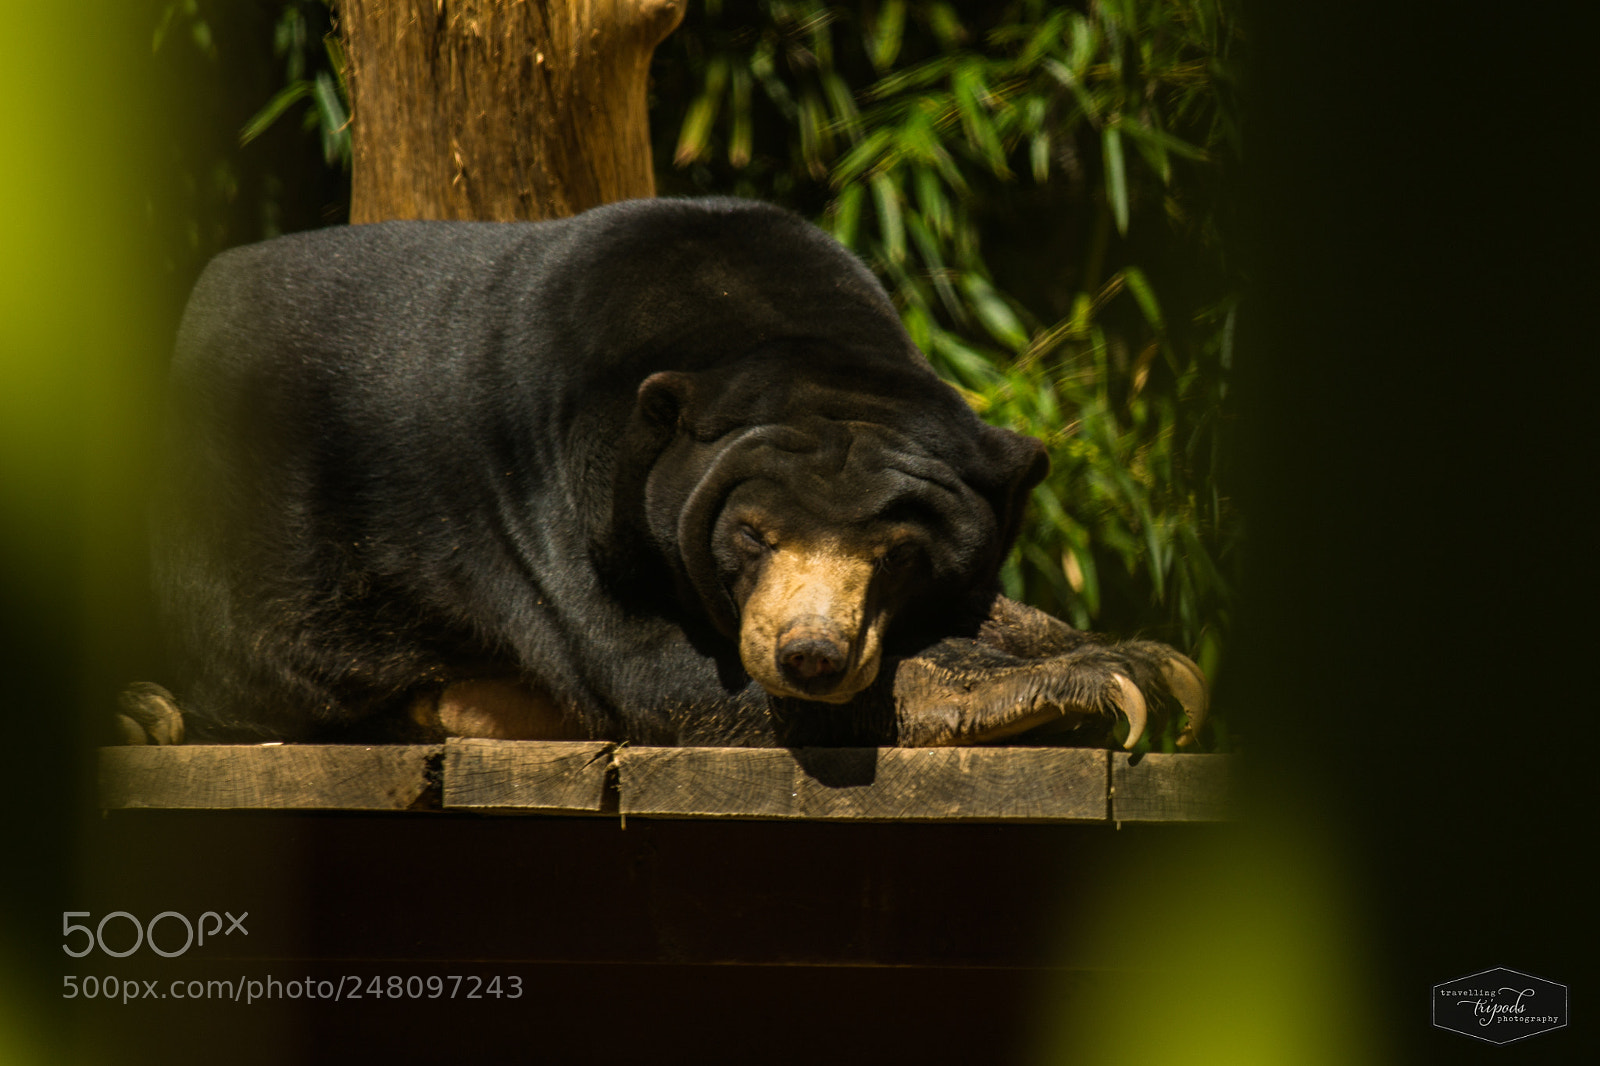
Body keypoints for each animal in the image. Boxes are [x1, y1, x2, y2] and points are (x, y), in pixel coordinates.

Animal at [129, 197, 1205, 749]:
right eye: (751, 537)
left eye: (898, 554)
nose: (809, 653)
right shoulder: (539, 483)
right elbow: (651, 667)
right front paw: (1090, 686)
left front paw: (1142, 658)